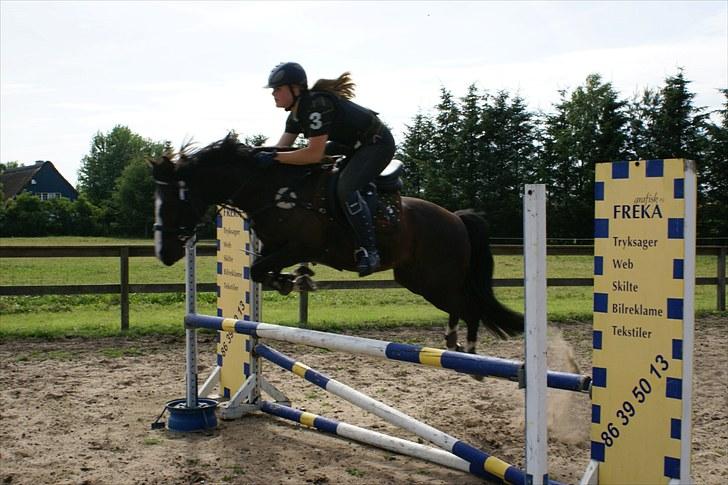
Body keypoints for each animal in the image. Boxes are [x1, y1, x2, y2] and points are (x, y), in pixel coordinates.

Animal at [151, 133, 522, 357]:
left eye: (172, 203)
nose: (164, 254)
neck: (272, 188)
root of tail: (457, 219)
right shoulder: (274, 246)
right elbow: (258, 270)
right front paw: (290, 280)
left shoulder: (304, 245)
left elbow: (260, 268)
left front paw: (295, 279)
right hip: (417, 279)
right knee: (460, 305)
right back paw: (452, 341)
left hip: (434, 279)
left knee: (469, 305)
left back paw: (469, 349)